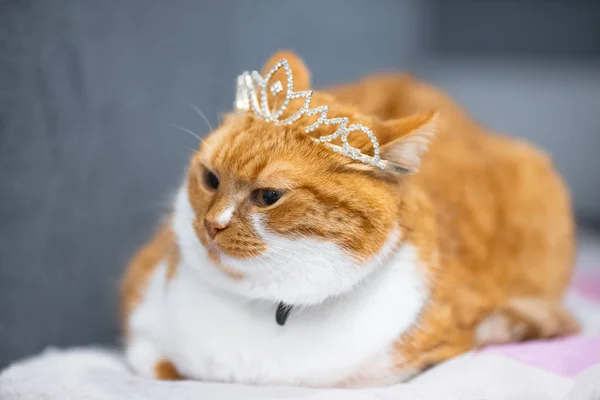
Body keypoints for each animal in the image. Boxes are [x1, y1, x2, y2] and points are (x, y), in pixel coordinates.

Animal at [118, 50, 576, 388]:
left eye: (268, 196)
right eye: (210, 179)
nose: (212, 225)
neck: (266, 304)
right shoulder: (141, 311)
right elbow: (160, 364)